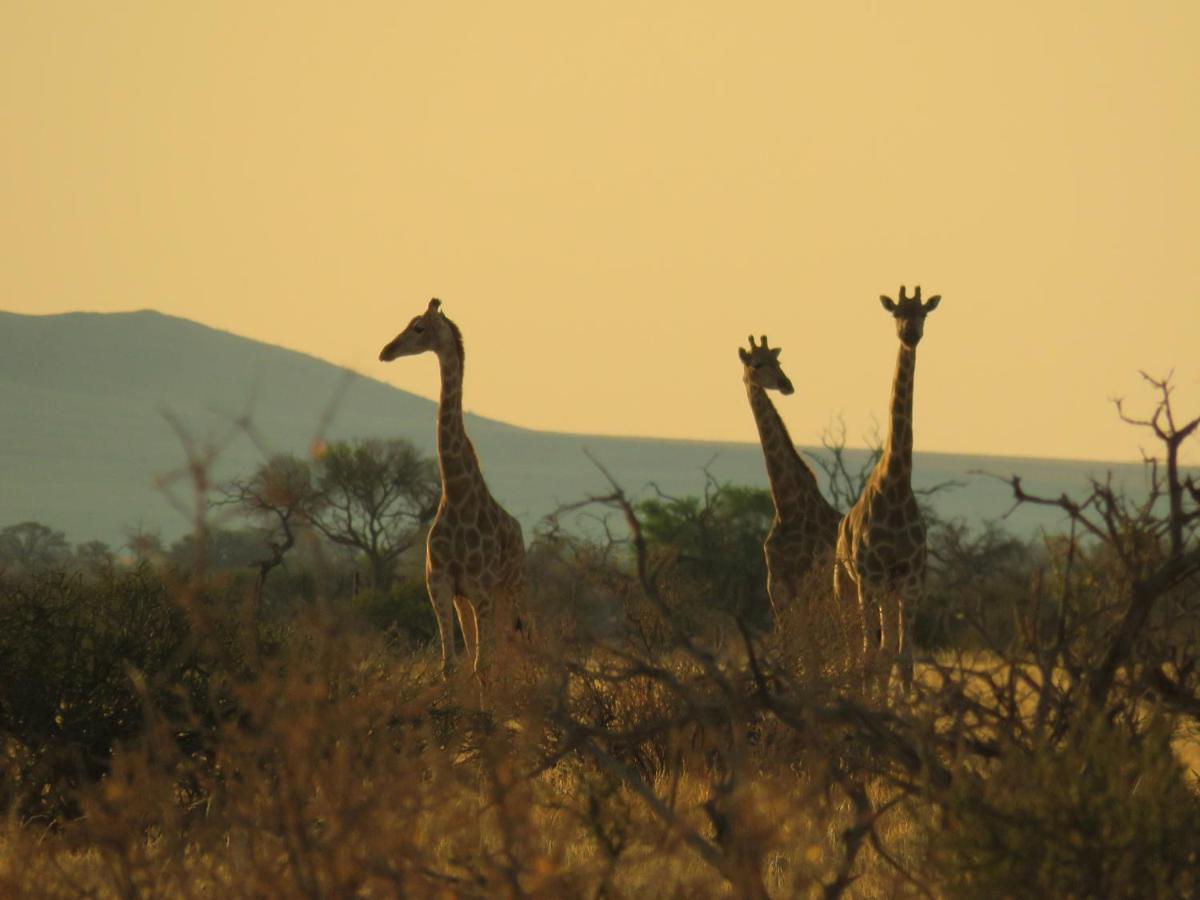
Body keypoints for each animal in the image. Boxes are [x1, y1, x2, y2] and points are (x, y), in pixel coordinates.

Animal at [376, 300, 523, 681]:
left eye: (418, 328)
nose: (386, 351)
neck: (456, 495)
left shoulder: (481, 590)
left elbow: (483, 665)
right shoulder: (441, 588)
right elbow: (452, 665)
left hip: (510, 588)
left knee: (507, 652)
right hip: (466, 600)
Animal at [734, 336, 840, 628]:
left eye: (778, 361)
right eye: (757, 364)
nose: (786, 384)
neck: (787, 507)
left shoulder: (810, 584)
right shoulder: (777, 588)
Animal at [830, 285, 940, 696]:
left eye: (924, 312)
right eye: (896, 312)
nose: (910, 333)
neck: (895, 484)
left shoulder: (909, 580)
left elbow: (904, 658)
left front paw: (904, 706)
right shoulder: (870, 577)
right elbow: (872, 655)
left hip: (887, 590)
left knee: (886, 647)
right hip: (845, 584)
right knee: (856, 650)